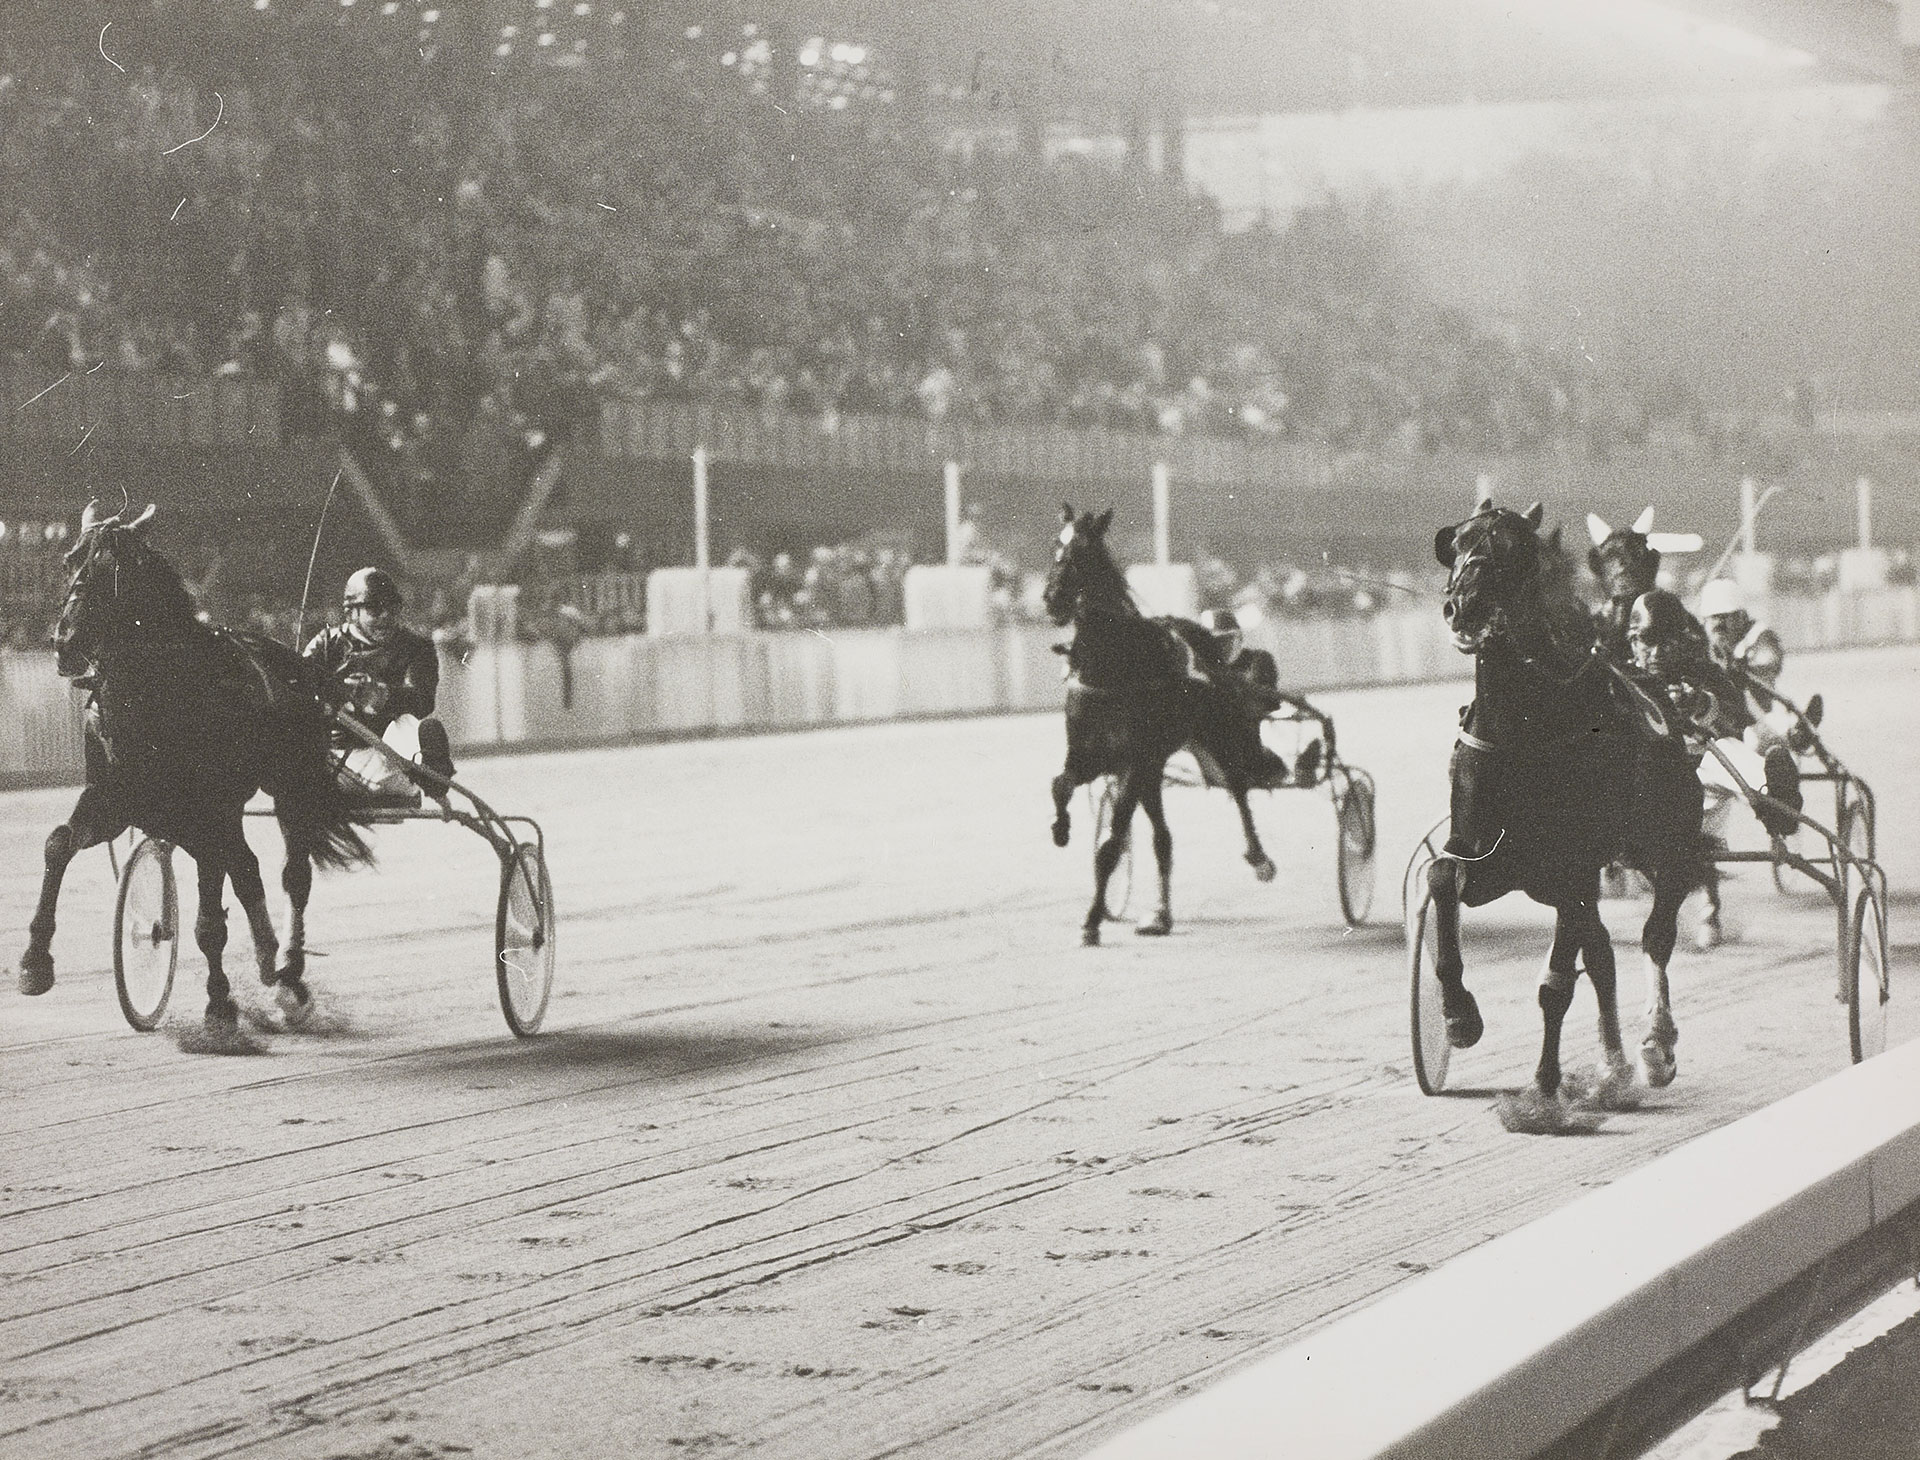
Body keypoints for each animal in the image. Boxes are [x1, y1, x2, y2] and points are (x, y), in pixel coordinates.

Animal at [14, 507, 374, 1029]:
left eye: (115, 572)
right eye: (69, 560)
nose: (65, 642)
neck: (154, 695)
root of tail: (302, 667)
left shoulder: (208, 812)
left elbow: (209, 921)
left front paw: (220, 1001)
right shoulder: (115, 798)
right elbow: (59, 843)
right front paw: (34, 962)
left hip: (290, 787)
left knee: (292, 876)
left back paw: (290, 974)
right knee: (246, 869)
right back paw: (269, 959)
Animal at [1044, 503, 1282, 945]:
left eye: (1085, 550)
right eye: (1056, 543)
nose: (1053, 599)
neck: (1113, 663)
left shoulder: (1133, 761)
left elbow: (1110, 845)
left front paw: (1091, 922)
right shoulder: (1092, 755)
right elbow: (1060, 785)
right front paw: (1061, 828)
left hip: (1216, 737)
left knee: (1238, 787)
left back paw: (1259, 857)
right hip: (1154, 767)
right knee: (1163, 839)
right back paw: (1161, 915)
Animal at [1428, 495, 1712, 1098]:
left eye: (1516, 548)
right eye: (1456, 542)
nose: (1464, 607)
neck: (1522, 729)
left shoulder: (1574, 866)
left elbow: (1557, 984)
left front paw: (1544, 1085)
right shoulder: (1491, 859)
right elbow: (1440, 875)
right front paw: (1459, 1015)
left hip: (1668, 844)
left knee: (1656, 935)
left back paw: (1655, 1045)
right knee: (1602, 953)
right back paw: (1614, 1063)